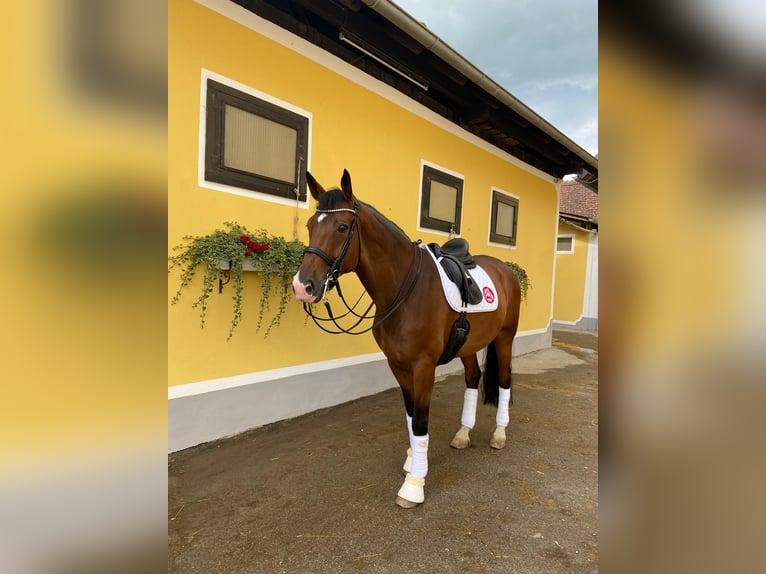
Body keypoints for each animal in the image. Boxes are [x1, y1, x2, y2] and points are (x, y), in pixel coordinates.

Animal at [292, 170, 520, 508]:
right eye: (309, 225)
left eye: (342, 227)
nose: (303, 286)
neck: (405, 290)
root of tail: (506, 270)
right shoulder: (398, 365)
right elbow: (411, 415)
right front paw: (413, 461)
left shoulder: (423, 367)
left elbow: (421, 420)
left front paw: (414, 485)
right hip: (468, 345)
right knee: (473, 378)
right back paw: (463, 434)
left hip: (505, 339)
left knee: (504, 381)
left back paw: (499, 435)